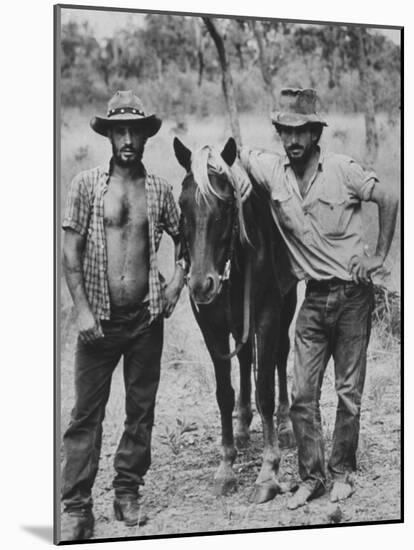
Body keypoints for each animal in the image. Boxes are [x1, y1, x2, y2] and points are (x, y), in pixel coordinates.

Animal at [173, 135, 296, 504]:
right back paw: (242, 427)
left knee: (281, 355)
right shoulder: (211, 327)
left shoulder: (267, 315)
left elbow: (266, 389)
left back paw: (285, 423)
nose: (201, 284)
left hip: (286, 307)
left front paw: (268, 471)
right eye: (183, 205)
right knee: (243, 360)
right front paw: (226, 465)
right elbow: (224, 393)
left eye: (225, 207)